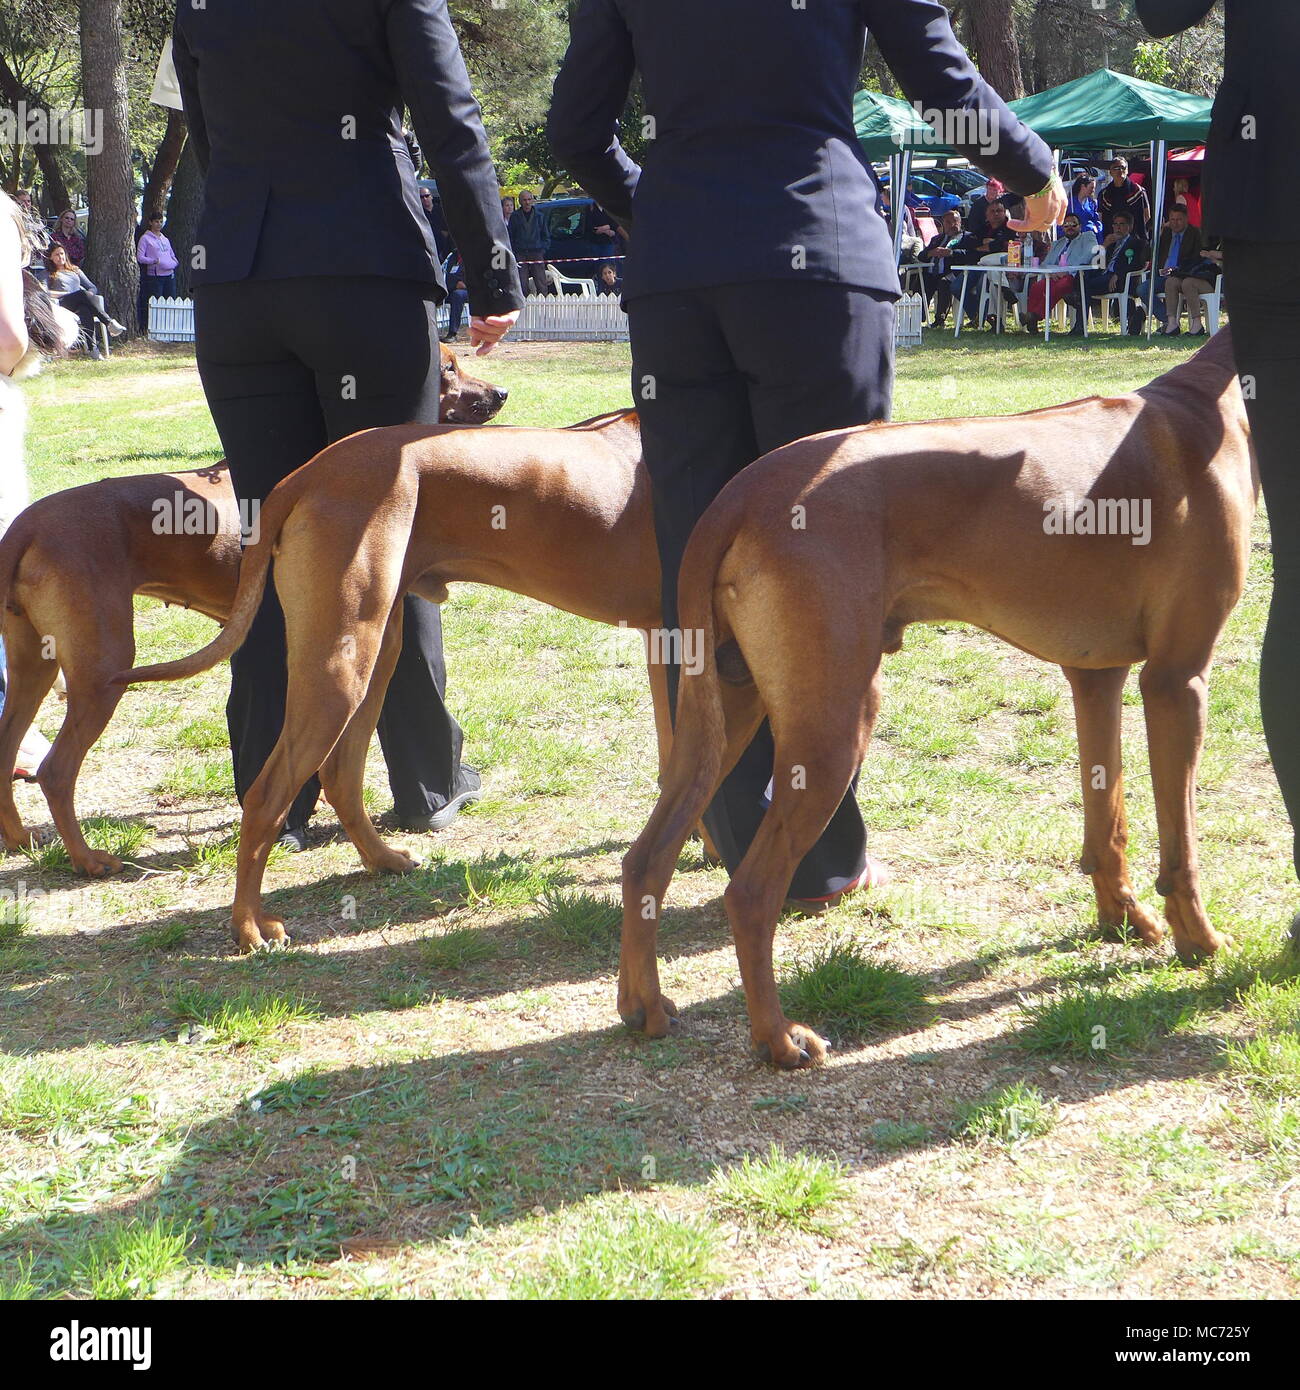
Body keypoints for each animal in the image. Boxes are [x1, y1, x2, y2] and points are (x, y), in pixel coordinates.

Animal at [0, 343, 508, 872]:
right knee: (56, 770)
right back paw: (88, 859)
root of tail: (26, 525)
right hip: (103, 666)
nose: (501, 393)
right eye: (447, 367)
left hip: (34, 660)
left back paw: (18, 837)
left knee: (5, 745)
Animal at [620, 330, 1262, 1067]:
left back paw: (642, 1006)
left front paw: (1122, 922)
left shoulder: (1096, 674)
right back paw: (778, 1038)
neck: (1212, 401)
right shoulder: (1176, 680)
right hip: (835, 724)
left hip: (726, 710)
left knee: (645, 858)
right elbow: (1181, 846)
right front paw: (1200, 943)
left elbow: (1109, 827)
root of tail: (741, 492)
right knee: (751, 893)